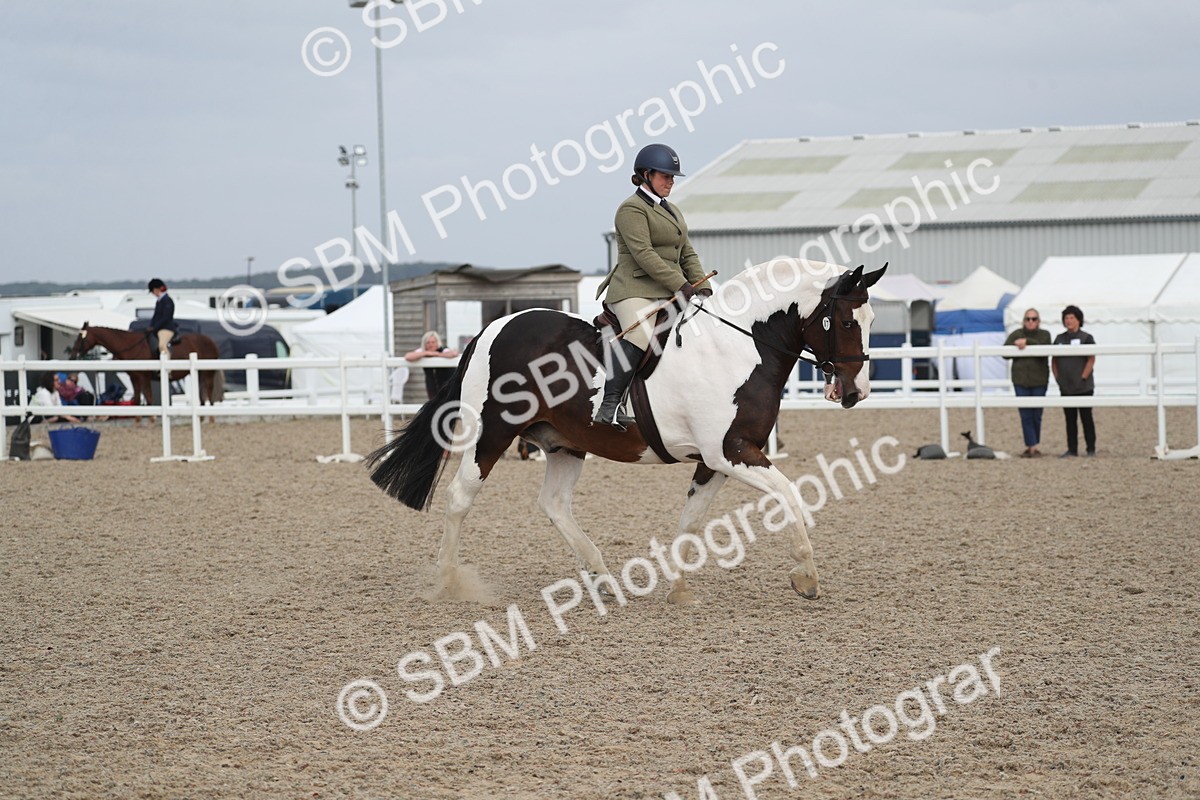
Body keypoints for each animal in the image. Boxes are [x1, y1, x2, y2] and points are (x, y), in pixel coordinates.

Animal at [68, 322, 224, 411]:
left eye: (80, 338)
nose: (72, 355)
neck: (131, 346)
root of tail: (211, 341)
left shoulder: (144, 377)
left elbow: (148, 399)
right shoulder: (135, 378)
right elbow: (137, 400)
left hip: (207, 373)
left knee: (209, 394)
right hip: (200, 373)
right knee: (202, 396)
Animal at [368, 259, 886, 604]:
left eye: (871, 320)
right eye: (845, 320)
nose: (855, 391)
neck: (739, 347)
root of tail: (492, 329)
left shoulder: (716, 461)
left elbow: (691, 519)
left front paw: (679, 588)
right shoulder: (732, 451)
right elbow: (789, 494)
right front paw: (806, 576)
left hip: (564, 444)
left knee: (554, 504)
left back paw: (601, 577)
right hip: (489, 434)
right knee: (460, 498)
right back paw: (448, 582)